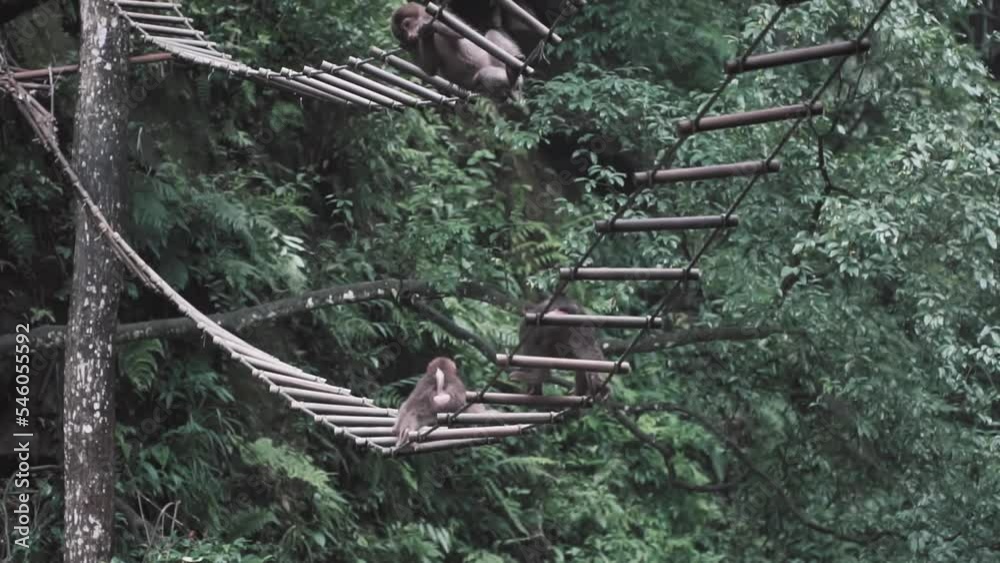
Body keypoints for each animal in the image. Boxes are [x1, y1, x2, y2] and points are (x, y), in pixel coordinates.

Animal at [388, 1, 524, 100]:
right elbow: (430, 69)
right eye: (401, 34)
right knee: (482, 76)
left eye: (407, 25)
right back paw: (511, 82)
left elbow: (459, 33)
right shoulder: (413, 45)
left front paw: (428, 27)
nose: (409, 36)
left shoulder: (441, 16)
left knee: (492, 33)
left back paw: (513, 76)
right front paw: (425, 33)